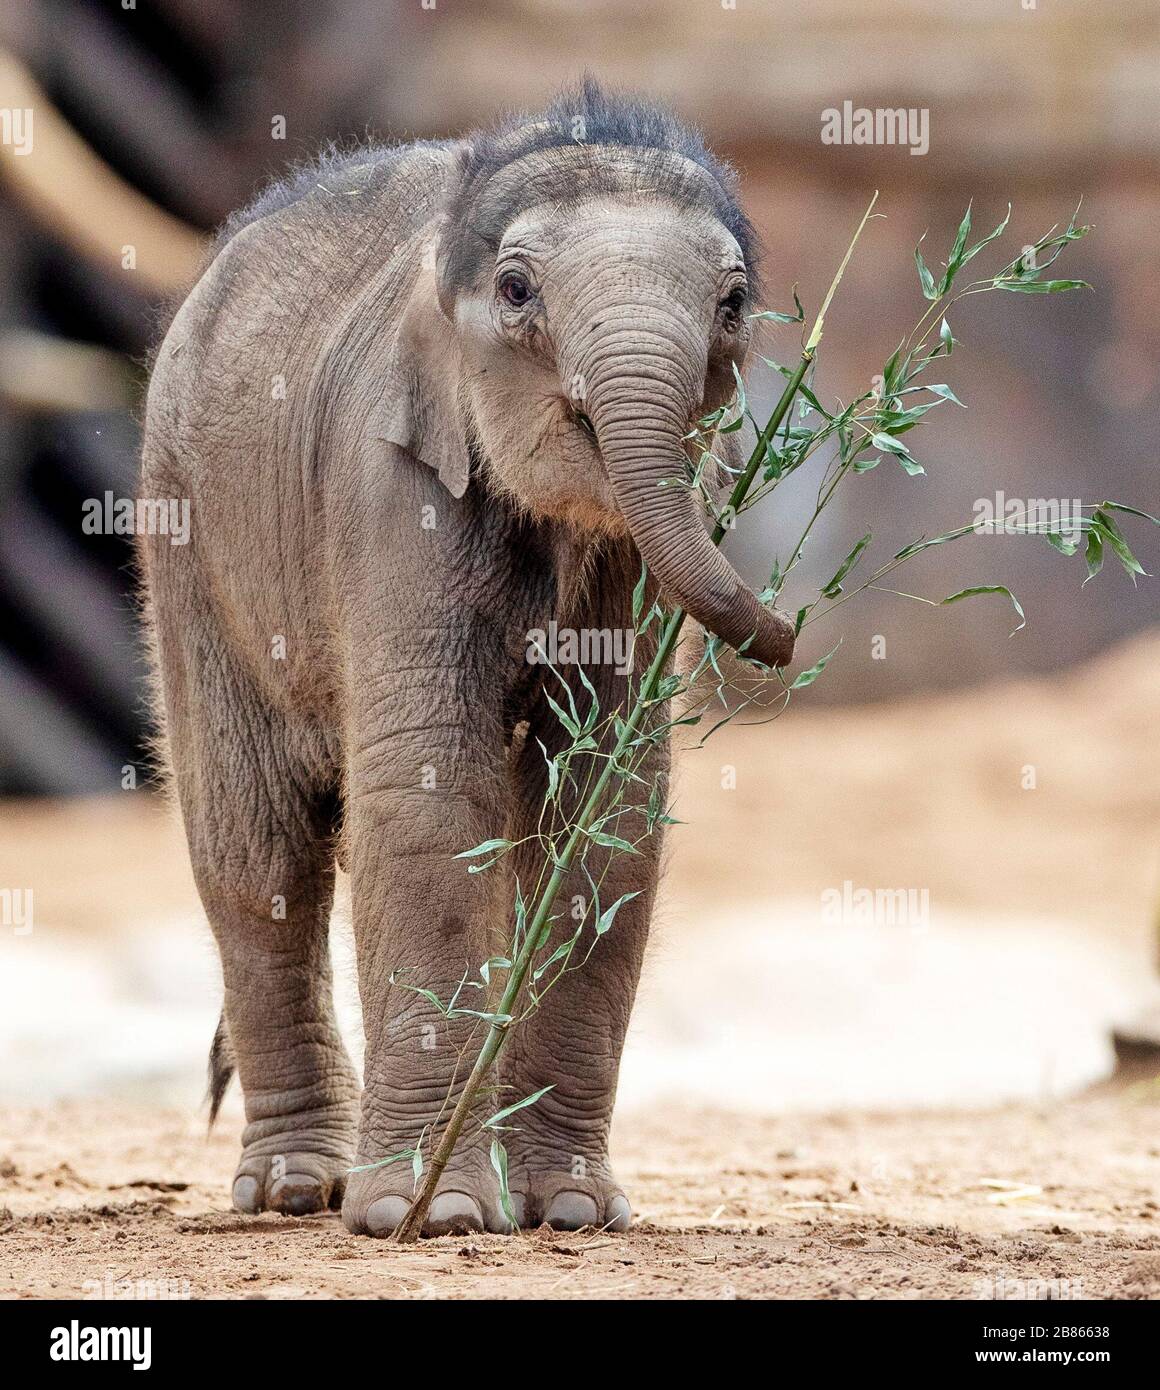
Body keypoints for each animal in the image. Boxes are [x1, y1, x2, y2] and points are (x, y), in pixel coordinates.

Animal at [136, 78, 789, 1239]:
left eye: (731, 302)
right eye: (517, 290)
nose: (789, 634)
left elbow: (606, 808)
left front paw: (568, 1211)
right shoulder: (388, 483)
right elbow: (432, 793)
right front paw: (427, 1217)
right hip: (187, 541)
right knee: (256, 854)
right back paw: (297, 1191)